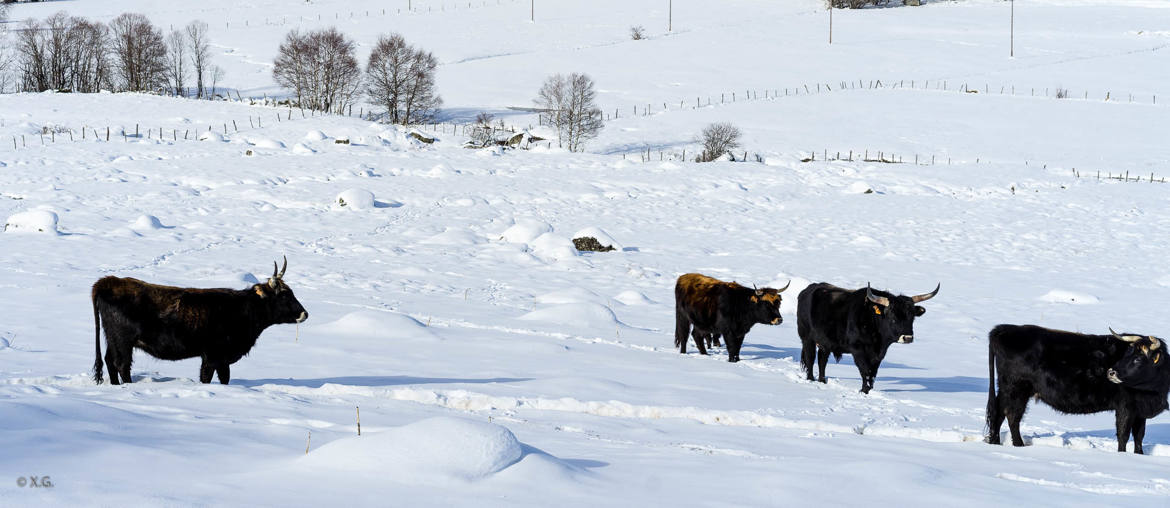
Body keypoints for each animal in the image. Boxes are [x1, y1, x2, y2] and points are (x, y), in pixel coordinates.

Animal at [91, 257, 308, 383]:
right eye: (284, 296)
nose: (305, 313)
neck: (243, 308)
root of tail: (108, 282)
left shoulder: (220, 359)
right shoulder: (212, 356)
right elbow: (208, 377)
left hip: (113, 339)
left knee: (110, 362)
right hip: (123, 341)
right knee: (121, 365)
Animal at [795, 282, 940, 393]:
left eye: (912, 317)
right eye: (892, 317)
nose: (907, 338)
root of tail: (807, 290)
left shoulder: (878, 355)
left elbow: (873, 373)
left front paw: (869, 389)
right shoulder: (858, 350)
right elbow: (864, 370)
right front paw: (864, 390)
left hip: (825, 342)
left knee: (822, 360)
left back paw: (822, 381)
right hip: (807, 338)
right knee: (810, 358)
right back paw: (811, 379)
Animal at [987, 325, 1170, 451]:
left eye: (1138, 358)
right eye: (1127, 354)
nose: (1111, 372)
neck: (1155, 392)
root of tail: (1005, 329)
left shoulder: (1140, 411)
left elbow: (1139, 436)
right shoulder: (1125, 407)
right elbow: (1123, 435)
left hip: (1006, 389)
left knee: (998, 413)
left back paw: (994, 442)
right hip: (1017, 389)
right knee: (1012, 416)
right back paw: (1019, 445)